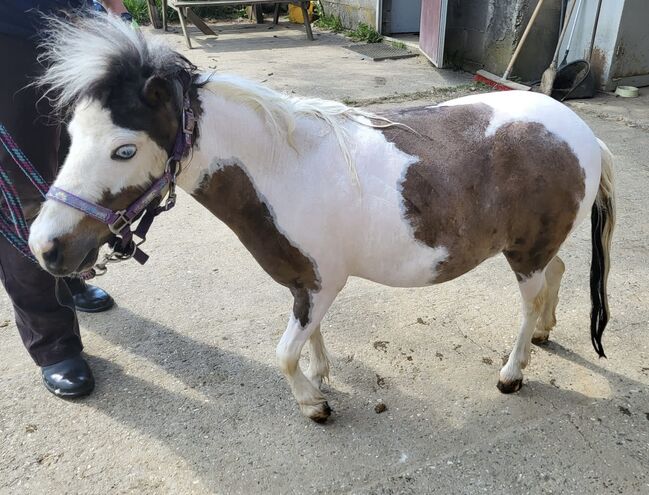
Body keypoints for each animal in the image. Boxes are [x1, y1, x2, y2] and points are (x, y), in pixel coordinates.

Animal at [29, 17, 612, 424]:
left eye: (124, 150)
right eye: (71, 136)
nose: (45, 247)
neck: (286, 167)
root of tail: (582, 132)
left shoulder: (321, 282)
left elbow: (284, 351)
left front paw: (313, 405)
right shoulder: (305, 283)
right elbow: (306, 338)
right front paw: (321, 375)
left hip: (524, 253)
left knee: (530, 300)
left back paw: (513, 372)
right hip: (533, 247)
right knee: (556, 274)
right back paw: (545, 334)